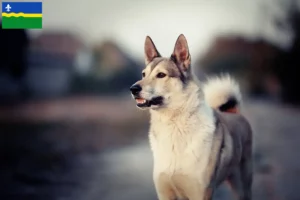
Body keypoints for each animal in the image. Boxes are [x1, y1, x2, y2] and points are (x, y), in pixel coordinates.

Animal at [129, 34, 253, 200]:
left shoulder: (200, 193)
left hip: (241, 187)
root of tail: (233, 112)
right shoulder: (165, 193)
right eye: (143, 74)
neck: (174, 124)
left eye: (161, 75)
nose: (133, 89)